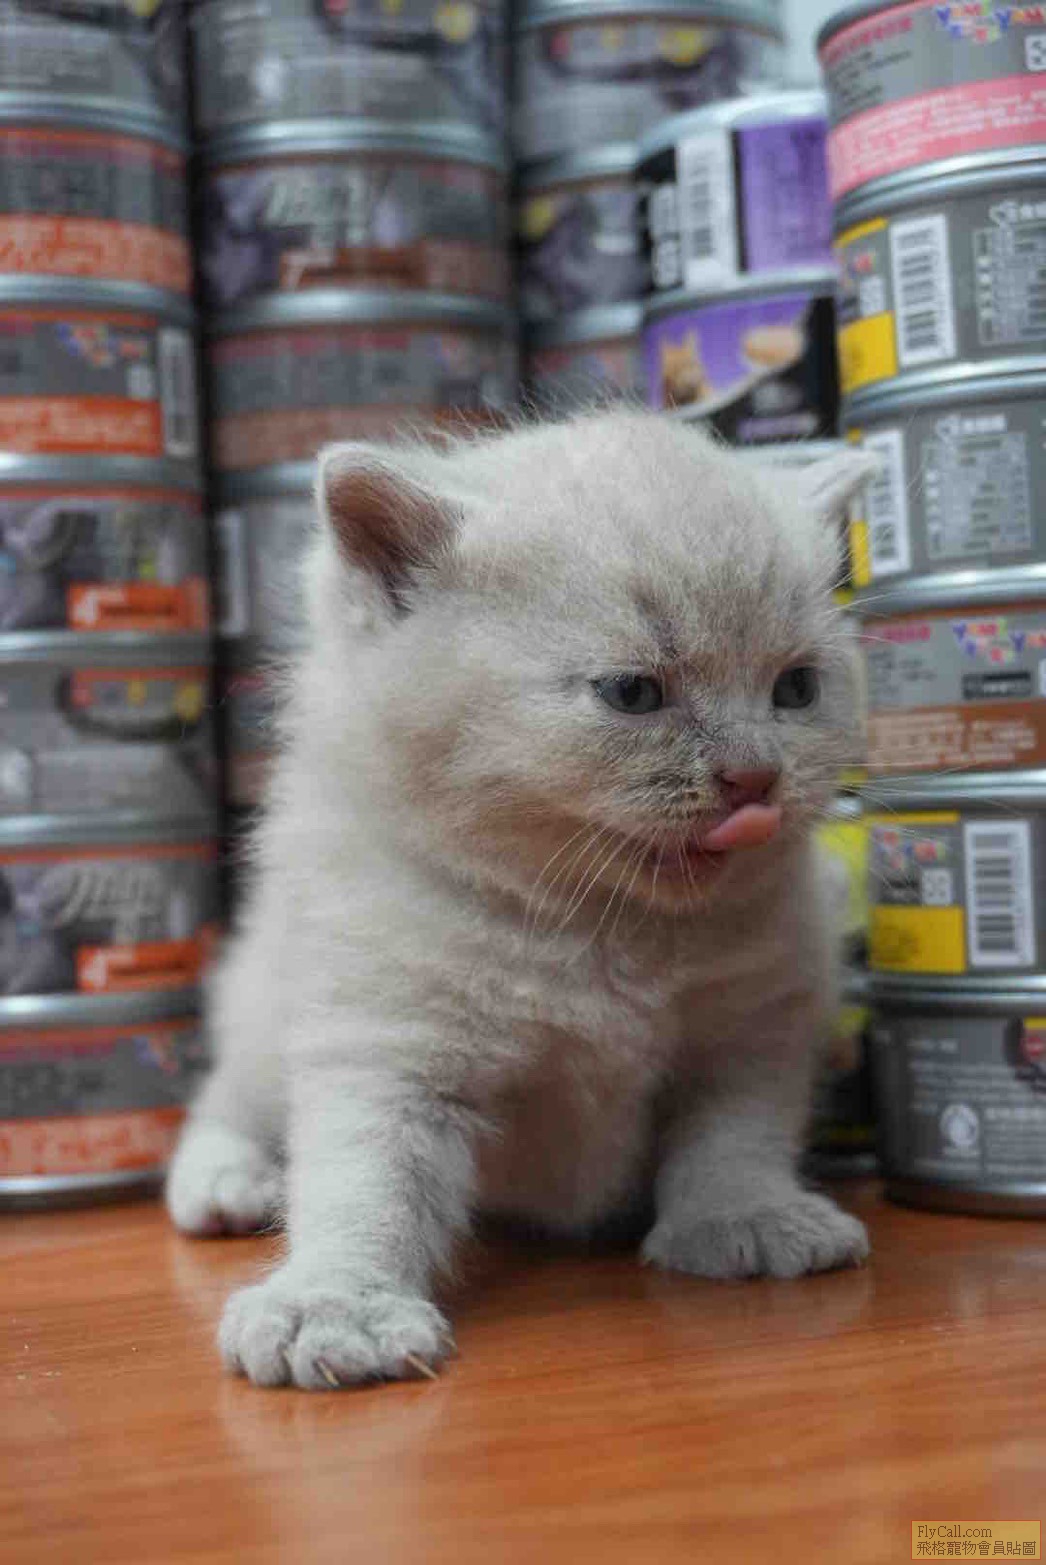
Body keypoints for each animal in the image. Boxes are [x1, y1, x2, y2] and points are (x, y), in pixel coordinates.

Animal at [167, 411, 877, 1390]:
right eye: (634, 692)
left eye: (796, 688)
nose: (755, 777)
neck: (605, 930)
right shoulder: (385, 1034)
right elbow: (366, 1175)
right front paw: (334, 1301)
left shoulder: (756, 1021)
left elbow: (736, 1132)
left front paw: (746, 1215)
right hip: (263, 992)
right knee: (226, 1094)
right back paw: (227, 1181)